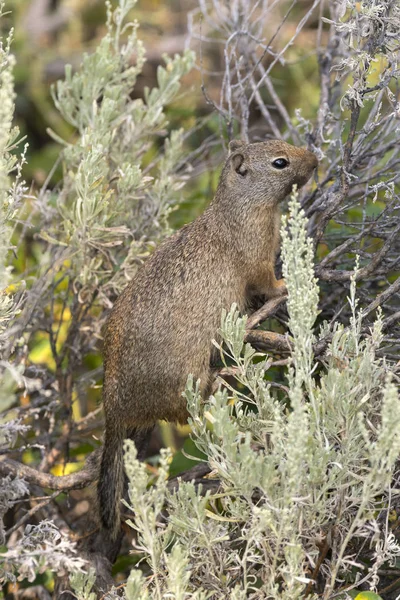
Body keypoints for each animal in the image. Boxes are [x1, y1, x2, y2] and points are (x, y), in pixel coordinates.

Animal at [96, 139, 316, 544]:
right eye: (280, 162)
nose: (316, 160)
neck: (235, 209)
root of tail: (112, 408)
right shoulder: (257, 257)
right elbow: (266, 282)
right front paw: (286, 286)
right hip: (188, 382)